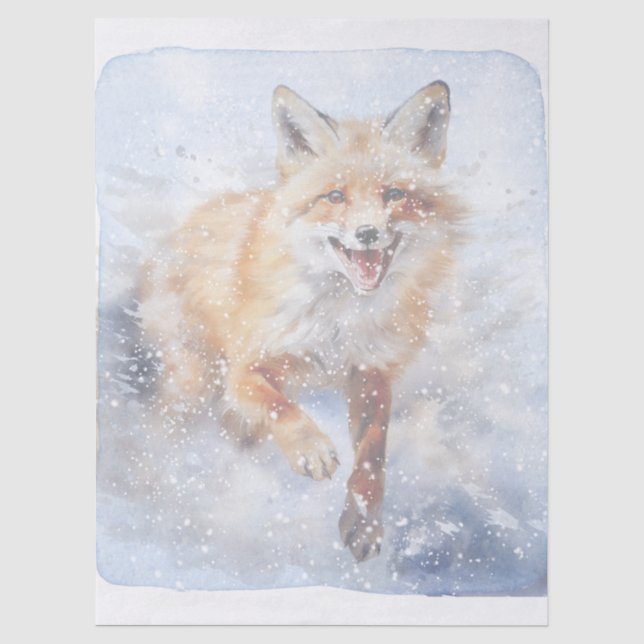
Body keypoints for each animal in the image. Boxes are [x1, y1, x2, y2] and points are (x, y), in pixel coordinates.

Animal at [137, 81, 464, 561]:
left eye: (393, 194)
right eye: (335, 197)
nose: (367, 233)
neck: (340, 317)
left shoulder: (370, 372)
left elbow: (373, 453)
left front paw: (364, 520)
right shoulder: (244, 370)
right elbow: (280, 406)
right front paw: (310, 448)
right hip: (192, 384)